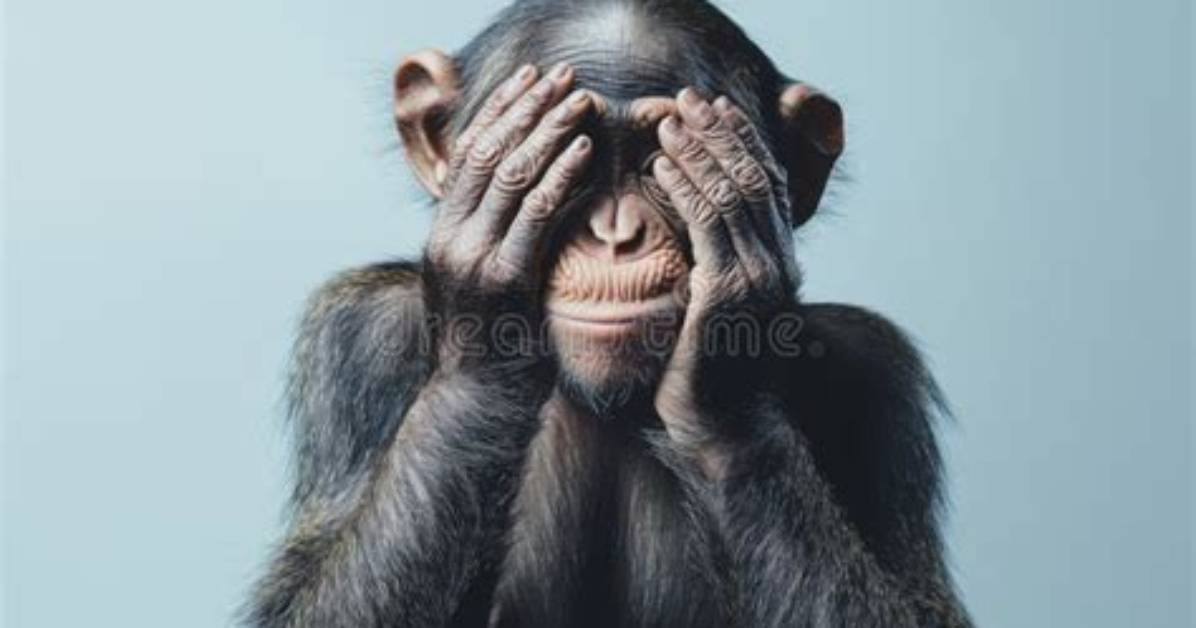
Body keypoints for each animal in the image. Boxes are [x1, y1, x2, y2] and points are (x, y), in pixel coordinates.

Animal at [245, 1, 973, 627]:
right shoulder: (357, 335)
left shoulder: (877, 371)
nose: (617, 235)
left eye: (658, 159)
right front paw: (487, 327)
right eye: (577, 150)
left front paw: (723, 367)